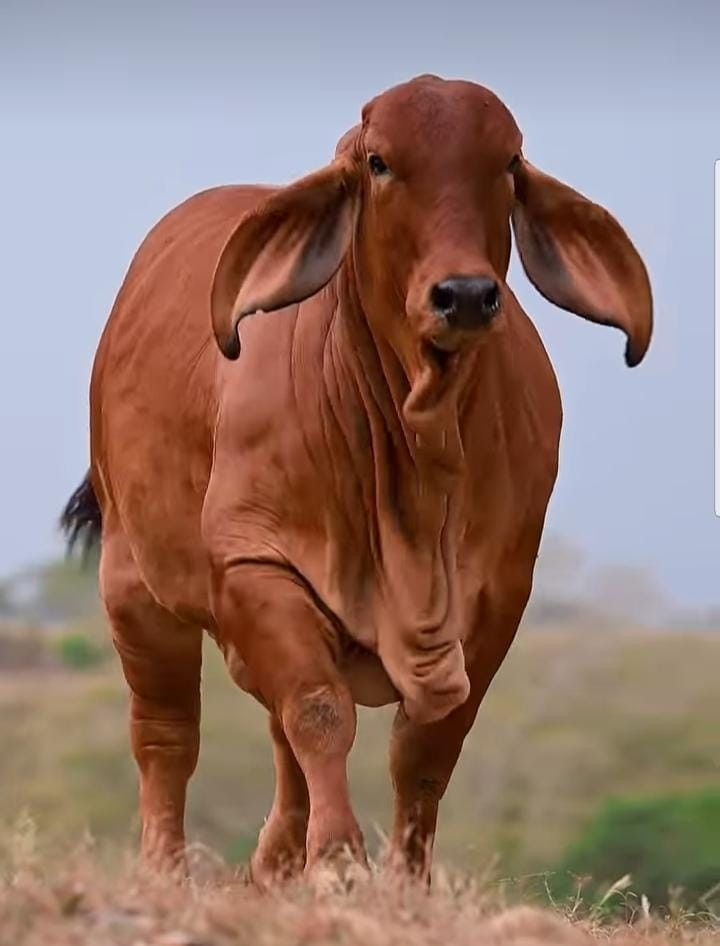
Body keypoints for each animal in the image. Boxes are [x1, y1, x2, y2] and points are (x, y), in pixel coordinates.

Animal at [61, 74, 652, 885]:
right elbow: (319, 713)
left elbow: (426, 749)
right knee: (167, 737)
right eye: (378, 162)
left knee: (275, 733)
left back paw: (274, 864)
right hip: (134, 586)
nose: (465, 295)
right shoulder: (256, 566)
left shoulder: (499, 599)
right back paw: (167, 869)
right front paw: (339, 859)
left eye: (507, 163)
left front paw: (403, 880)